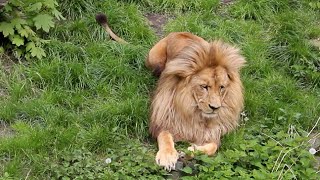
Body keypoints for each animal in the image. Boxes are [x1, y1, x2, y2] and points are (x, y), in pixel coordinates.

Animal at [146, 31, 246, 171]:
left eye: (222, 87)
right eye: (204, 86)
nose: (215, 107)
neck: (193, 110)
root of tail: (178, 32)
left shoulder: (212, 133)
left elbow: (213, 147)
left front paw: (189, 151)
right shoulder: (163, 121)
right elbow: (165, 137)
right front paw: (167, 157)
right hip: (154, 60)